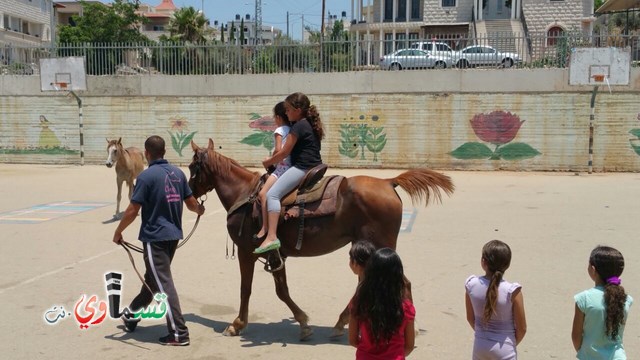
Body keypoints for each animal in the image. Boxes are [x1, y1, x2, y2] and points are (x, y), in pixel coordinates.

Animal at [188, 139, 452, 338]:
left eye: (192, 167)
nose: (190, 196)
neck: (245, 194)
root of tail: (388, 182)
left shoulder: (246, 252)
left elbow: (246, 289)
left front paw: (237, 324)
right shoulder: (277, 255)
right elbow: (282, 290)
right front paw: (303, 323)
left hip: (380, 247)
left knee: (401, 282)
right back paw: (343, 322)